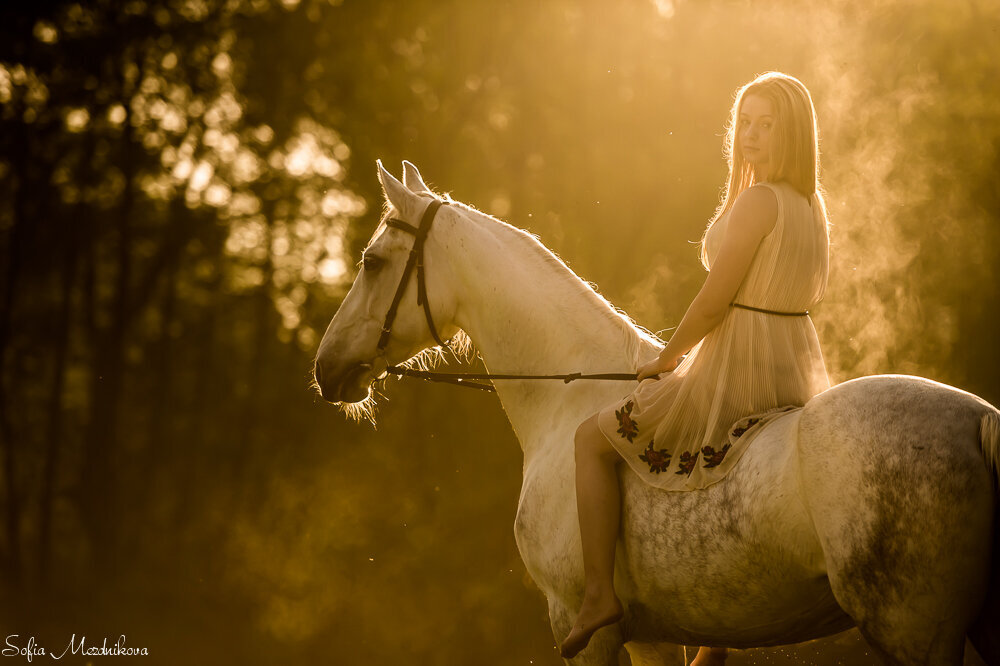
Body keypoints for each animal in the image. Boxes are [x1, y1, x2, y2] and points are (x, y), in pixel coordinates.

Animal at [314, 162, 1000, 664]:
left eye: (372, 263)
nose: (326, 368)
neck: (567, 399)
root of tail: (975, 420)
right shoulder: (655, 638)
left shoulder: (590, 632)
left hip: (910, 631)